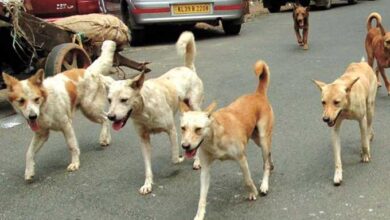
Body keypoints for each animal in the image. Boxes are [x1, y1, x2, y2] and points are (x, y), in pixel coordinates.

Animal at [1, 40, 116, 181]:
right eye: (21, 101)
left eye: (36, 99)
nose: (32, 117)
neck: (44, 106)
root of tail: (88, 71)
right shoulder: (41, 134)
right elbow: (29, 153)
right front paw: (29, 171)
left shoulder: (66, 126)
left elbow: (72, 146)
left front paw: (75, 163)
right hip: (90, 110)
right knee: (106, 118)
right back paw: (106, 139)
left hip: (89, 108)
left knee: (105, 118)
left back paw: (103, 137)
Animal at [106, 31, 204, 194]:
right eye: (109, 100)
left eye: (124, 100)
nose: (111, 117)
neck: (145, 110)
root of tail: (187, 68)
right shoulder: (143, 139)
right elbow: (147, 167)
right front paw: (147, 184)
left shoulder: (171, 131)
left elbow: (174, 159)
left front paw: (181, 158)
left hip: (195, 105)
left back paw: (197, 161)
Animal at [180, 60, 274, 220]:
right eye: (183, 128)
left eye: (198, 129)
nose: (185, 146)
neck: (215, 139)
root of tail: (257, 94)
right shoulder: (205, 169)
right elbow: (202, 197)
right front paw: (199, 214)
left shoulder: (242, 159)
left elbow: (247, 180)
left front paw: (252, 192)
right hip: (256, 138)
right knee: (269, 156)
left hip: (262, 139)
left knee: (265, 162)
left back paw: (264, 185)